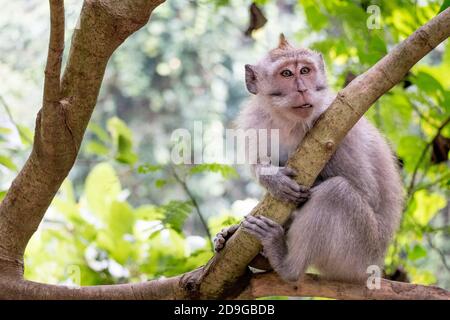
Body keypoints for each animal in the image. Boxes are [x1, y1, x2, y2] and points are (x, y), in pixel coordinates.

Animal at [214, 35, 404, 282]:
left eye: (305, 70)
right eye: (286, 74)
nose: (303, 89)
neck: (289, 122)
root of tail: (377, 266)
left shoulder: (339, 127)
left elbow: (366, 190)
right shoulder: (255, 122)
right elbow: (259, 162)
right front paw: (272, 177)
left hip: (361, 252)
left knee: (336, 192)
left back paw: (287, 264)